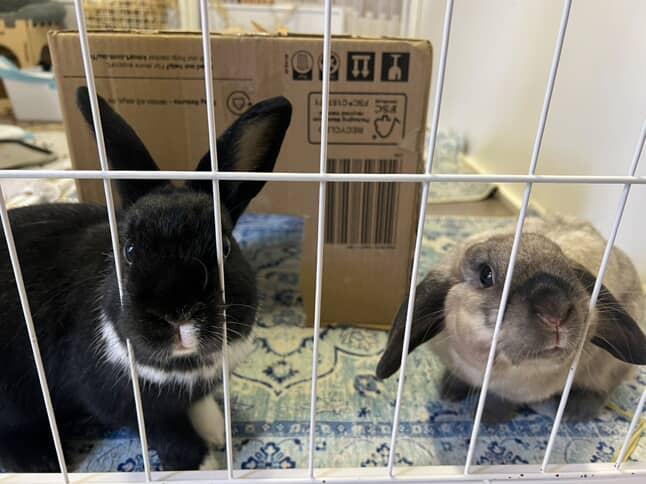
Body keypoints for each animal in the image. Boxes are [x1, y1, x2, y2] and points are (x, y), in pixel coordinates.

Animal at [0, 87, 292, 472]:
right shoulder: (131, 407)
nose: (177, 313)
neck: (185, 366)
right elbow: (174, 439)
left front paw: (217, 430)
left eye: (225, 246)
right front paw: (206, 466)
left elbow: (199, 404)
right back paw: (42, 462)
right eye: (129, 249)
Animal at [376, 215, 646, 423]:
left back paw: (575, 413)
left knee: (603, 389)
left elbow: (498, 399)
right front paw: (451, 393)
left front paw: (487, 419)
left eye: (570, 271)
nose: (555, 312)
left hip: (609, 368)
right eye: (486, 275)